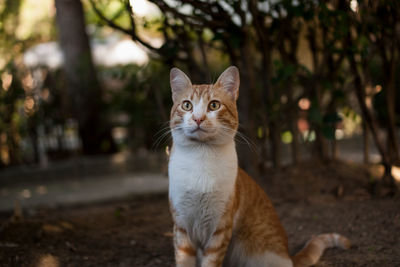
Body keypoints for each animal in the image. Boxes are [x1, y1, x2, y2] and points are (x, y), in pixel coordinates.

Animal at [167, 65, 348, 267]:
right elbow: (183, 259)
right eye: (187, 105)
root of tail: (288, 256)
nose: (198, 119)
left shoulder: (220, 228)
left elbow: (211, 261)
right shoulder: (181, 226)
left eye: (214, 105)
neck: (201, 157)